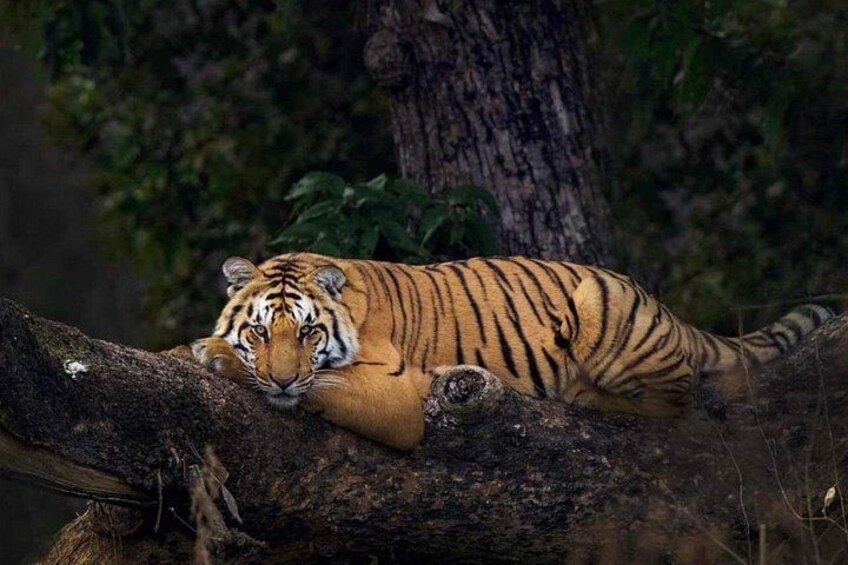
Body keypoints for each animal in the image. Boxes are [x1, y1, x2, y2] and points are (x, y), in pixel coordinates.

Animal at [173, 252, 833, 450]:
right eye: (262, 331)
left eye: (309, 334)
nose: (284, 381)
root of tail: (665, 307)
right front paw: (198, 349)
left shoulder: (396, 395)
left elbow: (325, 385)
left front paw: (215, 356)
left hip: (601, 304)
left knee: (678, 400)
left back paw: (585, 395)